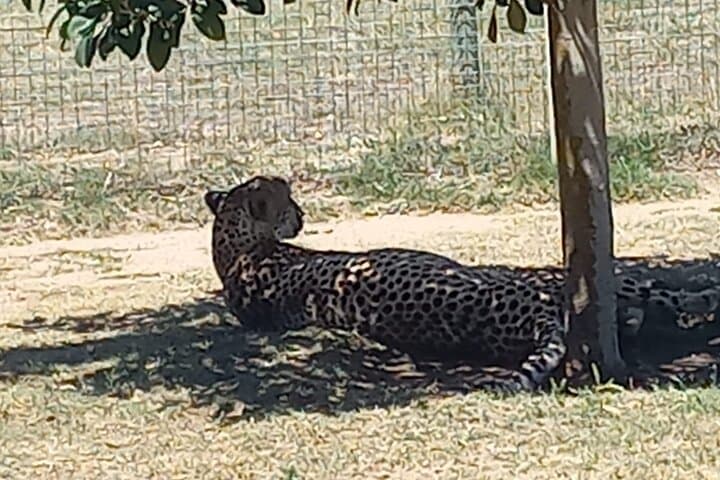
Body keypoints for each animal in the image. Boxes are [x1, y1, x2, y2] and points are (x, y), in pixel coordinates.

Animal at [204, 175, 719, 391]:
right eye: (288, 200)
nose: (303, 214)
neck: (234, 249)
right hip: (547, 276)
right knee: (653, 292)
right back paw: (702, 296)